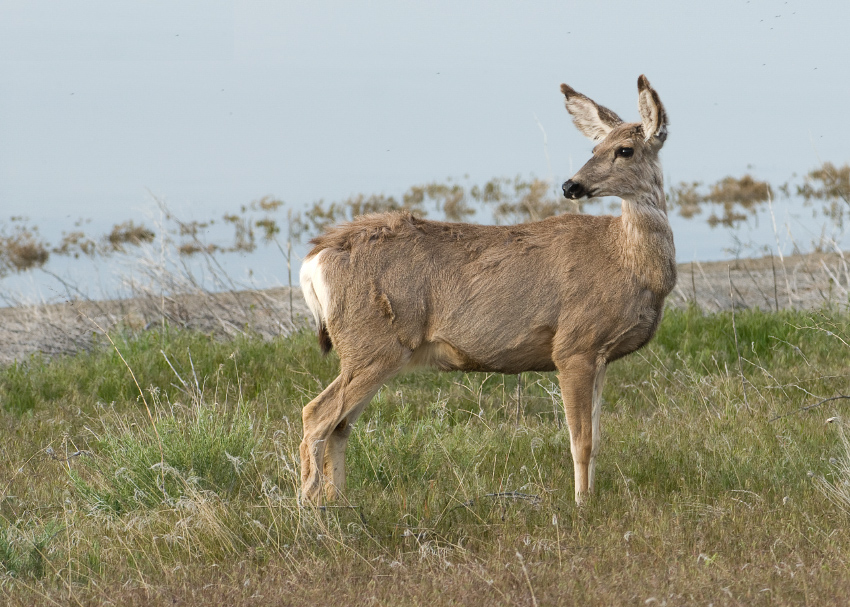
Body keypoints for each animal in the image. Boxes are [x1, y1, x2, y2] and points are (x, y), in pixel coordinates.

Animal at [298, 76, 676, 508]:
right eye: (594, 149)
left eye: (623, 150)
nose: (571, 185)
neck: (628, 261)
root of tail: (315, 258)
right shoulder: (574, 344)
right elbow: (580, 440)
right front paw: (582, 505)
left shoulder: (601, 356)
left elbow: (596, 439)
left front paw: (591, 499)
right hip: (372, 342)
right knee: (317, 415)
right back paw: (308, 506)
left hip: (370, 349)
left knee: (340, 425)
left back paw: (338, 502)